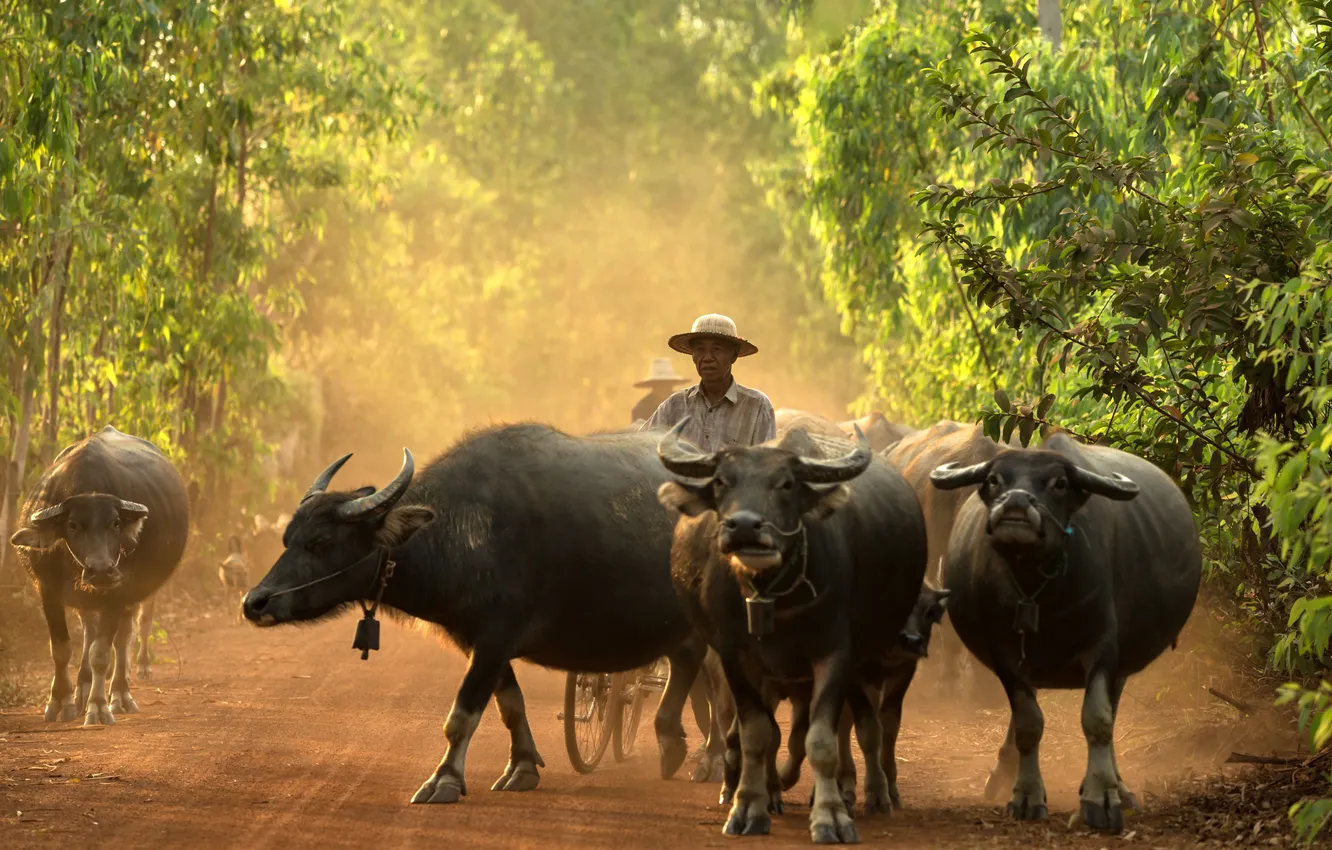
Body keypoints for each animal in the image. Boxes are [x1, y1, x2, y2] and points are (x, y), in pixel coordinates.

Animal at [9, 426, 189, 725]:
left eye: (115, 523)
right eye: (72, 525)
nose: (102, 570)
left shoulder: (119, 592)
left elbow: (102, 653)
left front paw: (98, 705)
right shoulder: (47, 589)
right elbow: (61, 648)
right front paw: (60, 700)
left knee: (122, 638)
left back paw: (119, 694)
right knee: (89, 631)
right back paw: (81, 690)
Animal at [241, 425, 710, 804]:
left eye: (321, 542)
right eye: (288, 538)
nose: (254, 602)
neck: (464, 535)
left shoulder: (495, 638)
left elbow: (462, 715)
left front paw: (444, 781)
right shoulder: (477, 641)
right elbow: (510, 706)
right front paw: (522, 768)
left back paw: (712, 761)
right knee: (690, 664)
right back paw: (673, 744)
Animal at [656, 421, 927, 843]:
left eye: (786, 484)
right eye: (721, 481)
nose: (744, 526)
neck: (774, 599)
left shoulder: (835, 656)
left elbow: (820, 739)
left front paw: (831, 816)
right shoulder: (735, 657)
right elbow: (755, 734)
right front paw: (748, 808)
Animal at [929, 432, 1201, 832]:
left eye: (1059, 483)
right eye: (995, 480)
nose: (1016, 502)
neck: (1040, 589)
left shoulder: (1103, 649)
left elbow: (1098, 721)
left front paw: (1101, 798)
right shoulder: (1006, 655)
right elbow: (1028, 724)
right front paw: (1026, 795)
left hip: (1120, 665)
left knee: (1111, 711)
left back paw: (1121, 789)